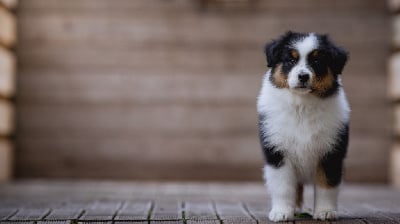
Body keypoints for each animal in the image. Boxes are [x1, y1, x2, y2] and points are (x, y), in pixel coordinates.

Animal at [258, 30, 348, 221]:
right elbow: (283, 186)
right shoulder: (277, 151)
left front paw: (325, 211)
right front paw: (281, 212)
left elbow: (326, 185)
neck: (302, 105)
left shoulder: (331, 152)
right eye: (291, 60)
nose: (303, 76)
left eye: (317, 61)